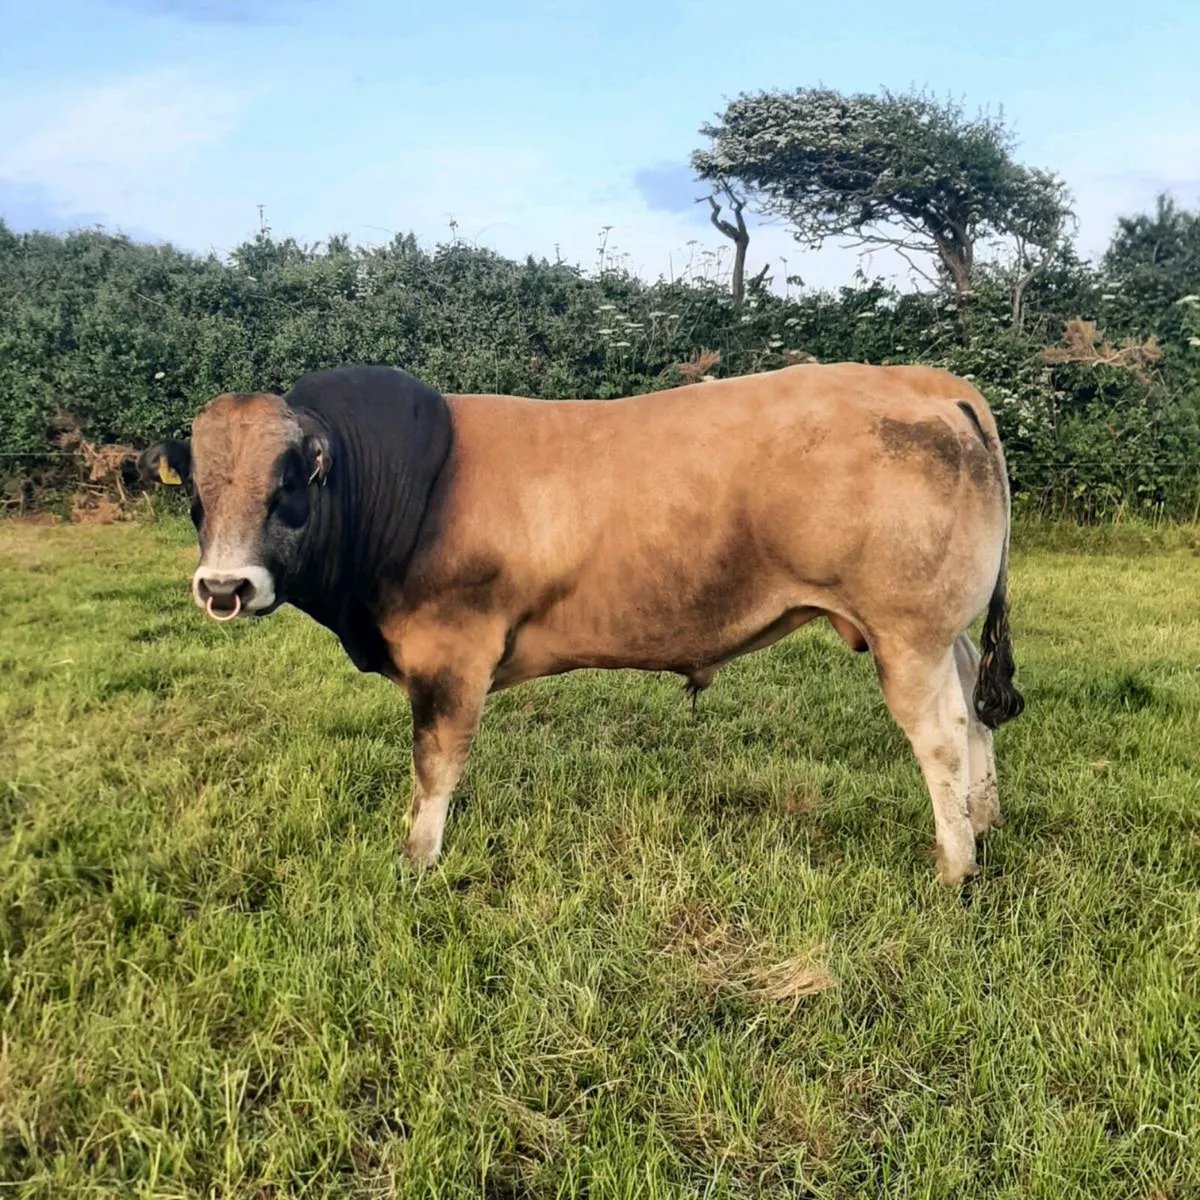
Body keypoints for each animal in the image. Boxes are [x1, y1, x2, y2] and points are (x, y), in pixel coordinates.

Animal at [139, 363, 1024, 885]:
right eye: (197, 491)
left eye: (289, 481)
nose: (224, 587)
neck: (413, 482)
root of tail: (923, 380)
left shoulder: (450, 655)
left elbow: (435, 767)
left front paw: (417, 860)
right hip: (942, 631)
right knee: (976, 716)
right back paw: (984, 823)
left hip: (904, 632)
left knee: (941, 735)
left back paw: (955, 865)